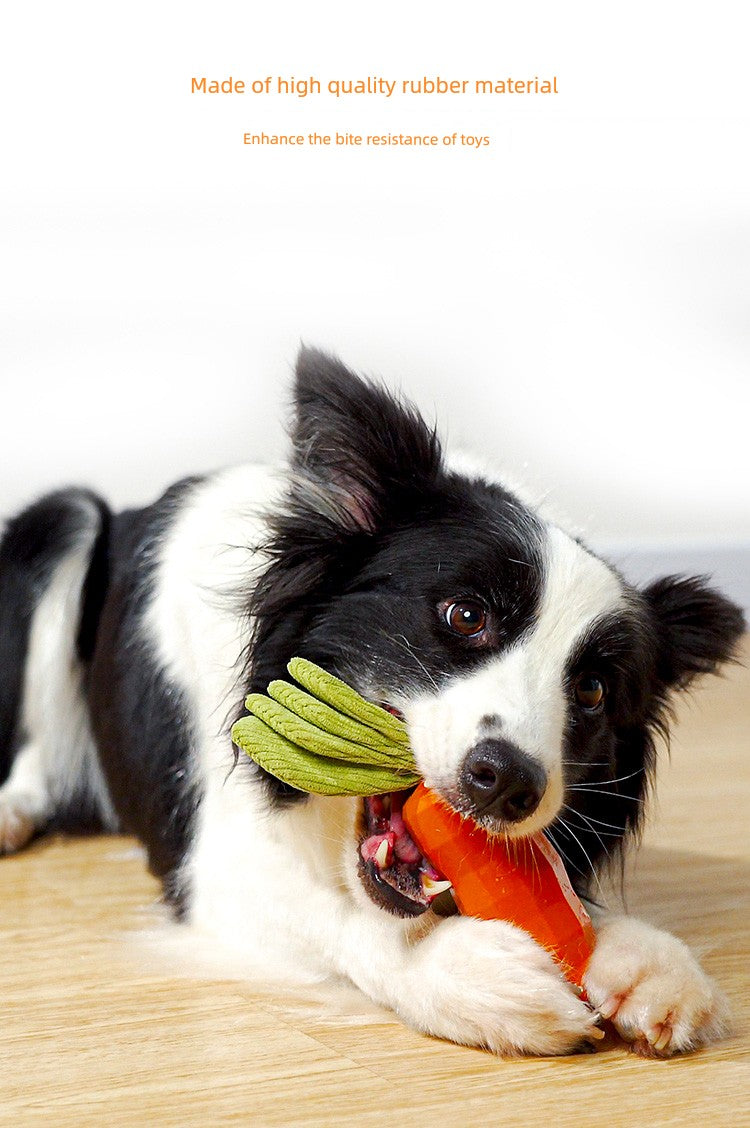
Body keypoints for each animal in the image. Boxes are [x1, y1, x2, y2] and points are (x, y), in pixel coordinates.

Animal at [0, 351, 739, 1055]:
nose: (507, 783)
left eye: (591, 690)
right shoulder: (209, 864)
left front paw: (644, 957)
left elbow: (559, 898)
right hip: (59, 521)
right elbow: (343, 917)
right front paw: (466, 973)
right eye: (465, 615)